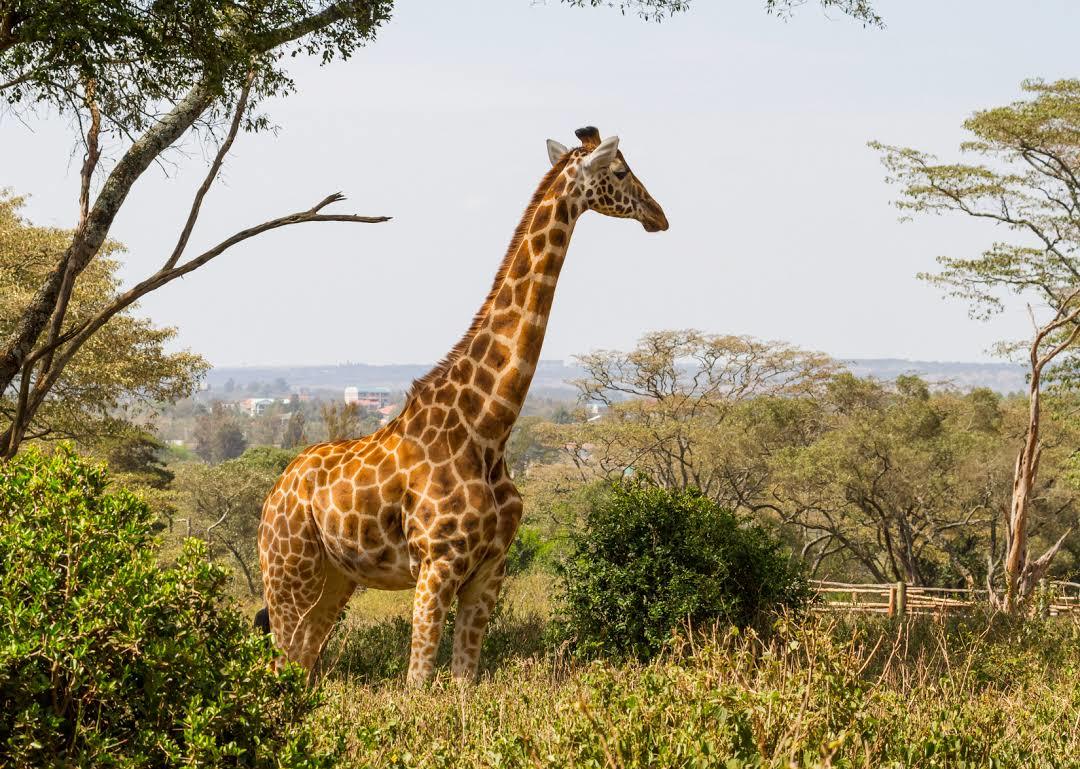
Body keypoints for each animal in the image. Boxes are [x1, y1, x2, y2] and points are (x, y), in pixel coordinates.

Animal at [257, 126, 668, 685]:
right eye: (621, 171)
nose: (659, 214)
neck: (487, 428)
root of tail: (275, 491)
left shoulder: (489, 571)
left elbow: (463, 684)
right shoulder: (436, 567)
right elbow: (416, 686)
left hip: (335, 577)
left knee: (300, 659)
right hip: (287, 570)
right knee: (280, 658)